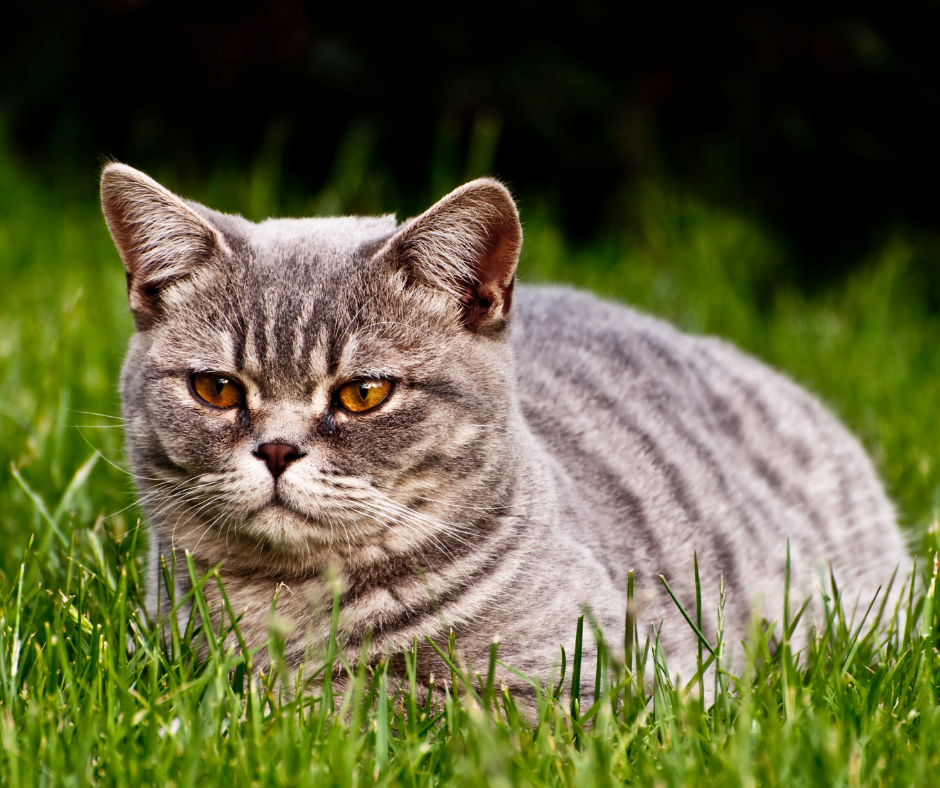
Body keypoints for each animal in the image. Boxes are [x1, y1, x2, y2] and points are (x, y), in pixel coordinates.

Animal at [101, 163, 912, 700]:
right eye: (217, 389)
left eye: (363, 393)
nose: (275, 449)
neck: (291, 605)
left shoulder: (594, 683)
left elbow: (391, 702)